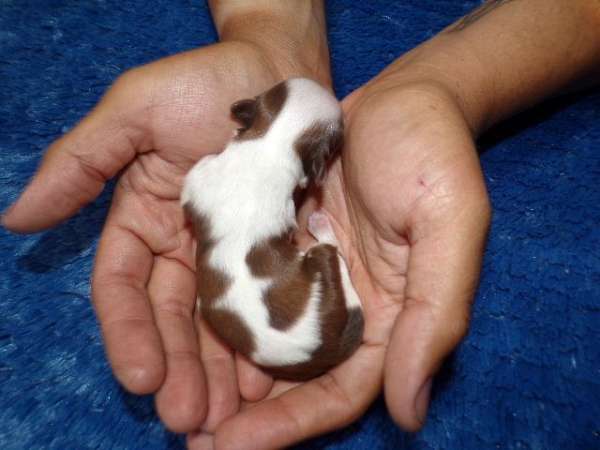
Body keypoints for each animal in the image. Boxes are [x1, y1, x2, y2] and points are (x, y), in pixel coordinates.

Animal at [180, 77, 364, 380]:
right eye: (339, 136)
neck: (270, 142)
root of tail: (328, 349)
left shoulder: (200, 174)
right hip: (322, 259)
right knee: (334, 253)